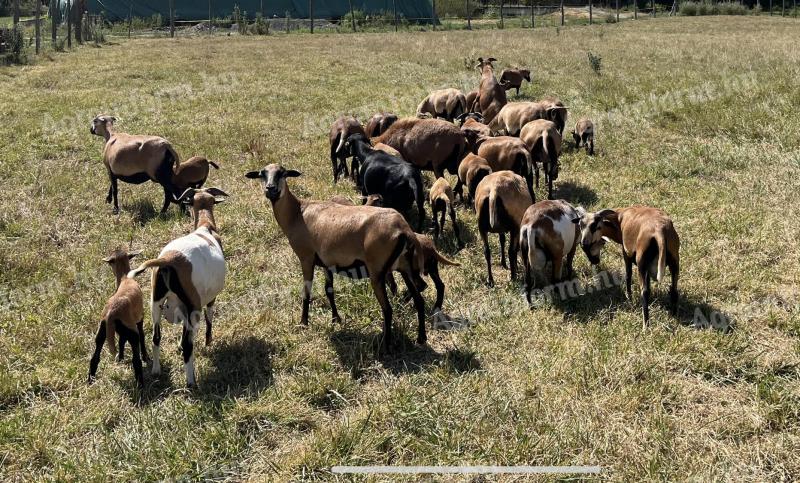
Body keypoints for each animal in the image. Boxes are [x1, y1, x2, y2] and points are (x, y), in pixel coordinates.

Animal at [87, 248, 148, 388]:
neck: (125, 278)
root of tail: (111, 313)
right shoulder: (139, 318)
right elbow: (142, 336)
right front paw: (146, 357)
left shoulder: (122, 330)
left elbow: (121, 341)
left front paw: (120, 357)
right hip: (132, 332)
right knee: (136, 360)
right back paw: (141, 385)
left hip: (103, 330)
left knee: (95, 357)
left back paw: (90, 380)